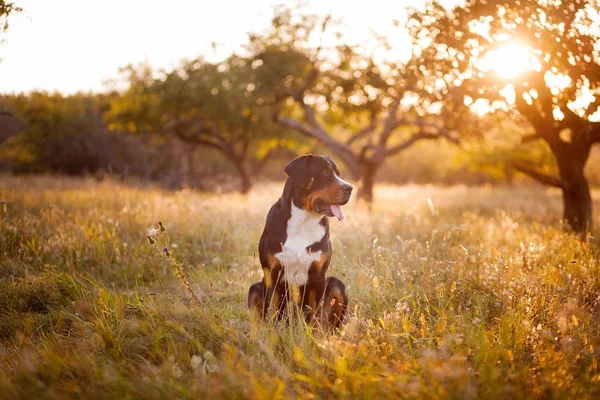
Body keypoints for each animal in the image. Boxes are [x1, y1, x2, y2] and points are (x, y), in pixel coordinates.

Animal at [247, 154, 352, 328]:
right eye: (324, 172)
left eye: (338, 174)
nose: (350, 188)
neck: (303, 222)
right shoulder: (272, 274)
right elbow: (271, 311)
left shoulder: (318, 276)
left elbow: (316, 315)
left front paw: (314, 333)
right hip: (255, 288)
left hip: (337, 285)